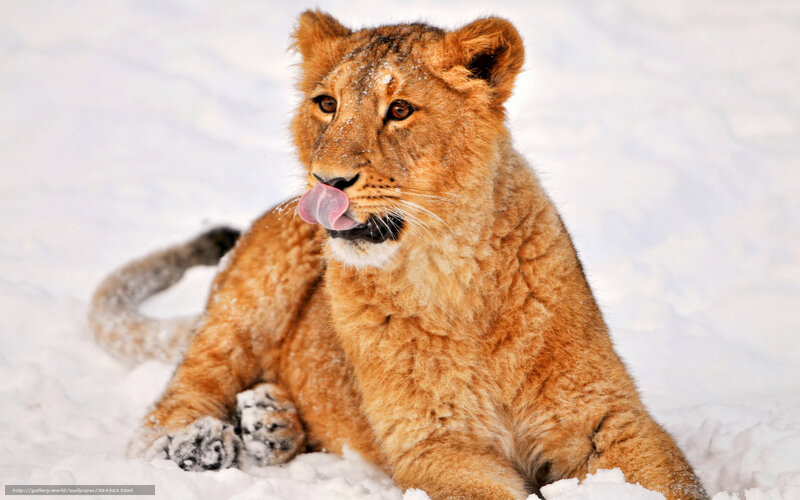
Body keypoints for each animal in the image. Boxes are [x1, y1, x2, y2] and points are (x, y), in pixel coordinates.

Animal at [89, 11, 709, 500]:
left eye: (401, 110)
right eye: (326, 104)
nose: (328, 181)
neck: (451, 275)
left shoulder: (607, 416)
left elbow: (673, 480)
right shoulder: (435, 445)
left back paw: (271, 423)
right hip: (245, 304)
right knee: (168, 406)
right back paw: (198, 444)